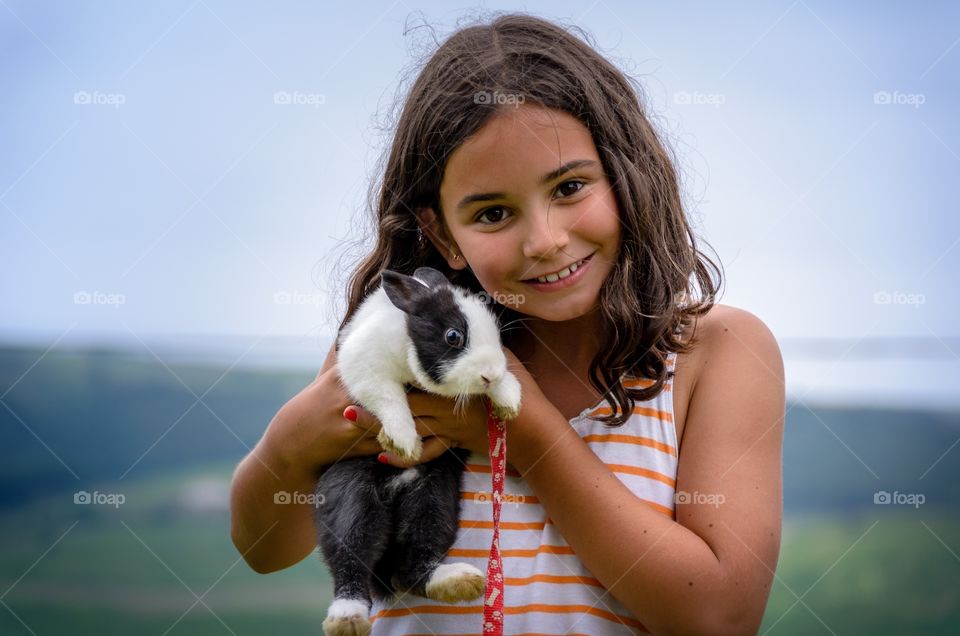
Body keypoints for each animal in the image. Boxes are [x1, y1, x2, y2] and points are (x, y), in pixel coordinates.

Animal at [316, 266, 520, 636]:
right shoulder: (364, 366)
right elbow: (388, 397)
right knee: (350, 557)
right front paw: (404, 442)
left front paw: (509, 400)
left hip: (434, 498)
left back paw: (457, 581)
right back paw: (347, 618)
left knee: (413, 564)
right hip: (352, 498)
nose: (489, 374)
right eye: (453, 336)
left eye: (497, 334)